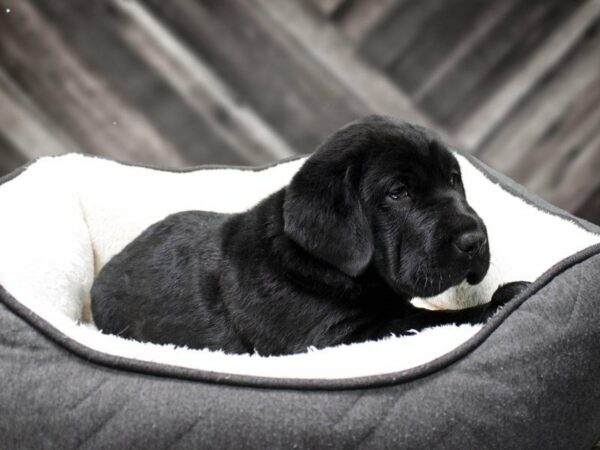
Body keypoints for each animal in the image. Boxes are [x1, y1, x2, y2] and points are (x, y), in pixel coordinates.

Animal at [90, 115, 528, 356]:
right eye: (398, 193)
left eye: (454, 180)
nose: (475, 240)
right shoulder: (340, 337)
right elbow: (430, 319)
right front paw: (500, 300)